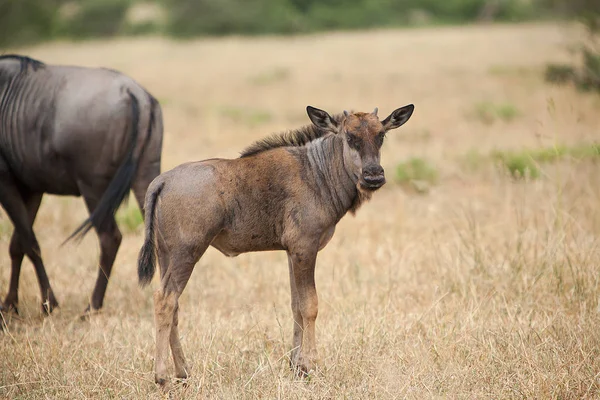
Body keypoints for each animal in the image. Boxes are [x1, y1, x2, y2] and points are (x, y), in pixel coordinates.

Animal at [138, 103, 414, 388]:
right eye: (350, 137)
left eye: (381, 135)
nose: (373, 176)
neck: (317, 172)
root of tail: (163, 180)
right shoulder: (305, 248)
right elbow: (310, 305)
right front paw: (312, 365)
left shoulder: (292, 253)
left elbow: (296, 306)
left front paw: (297, 367)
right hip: (187, 253)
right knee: (165, 300)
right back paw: (162, 376)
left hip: (167, 256)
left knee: (174, 306)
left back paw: (183, 372)